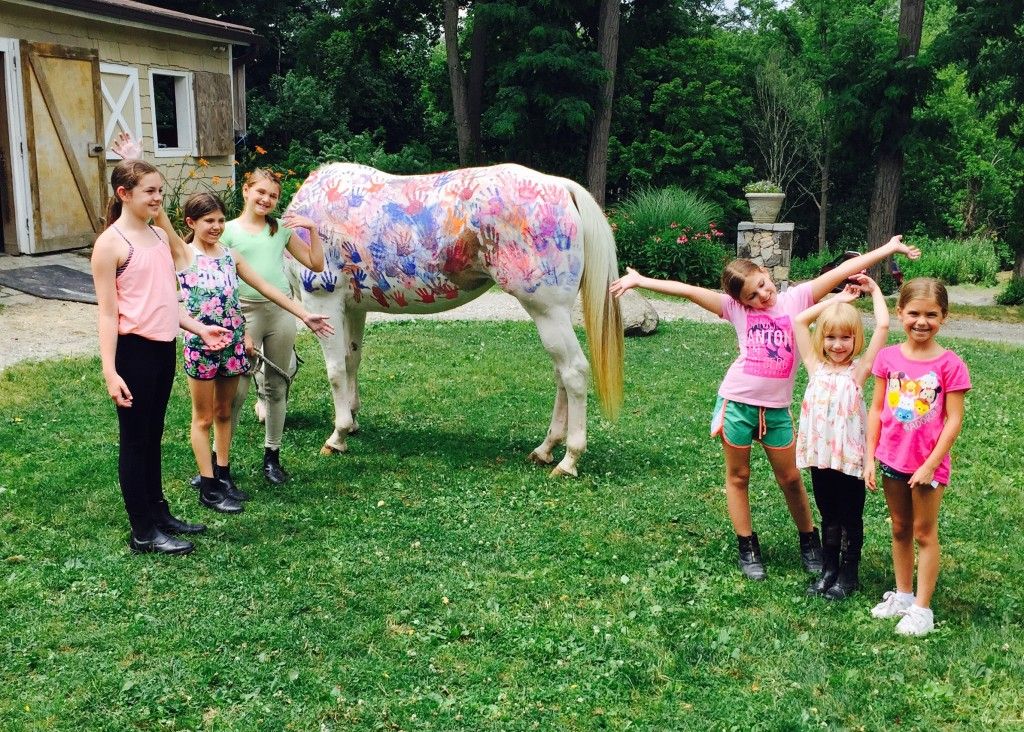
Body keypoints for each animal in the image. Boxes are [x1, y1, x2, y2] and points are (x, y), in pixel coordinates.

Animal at [286, 162, 622, 479]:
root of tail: (561, 187)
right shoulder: (354, 308)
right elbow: (351, 362)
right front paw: (353, 421)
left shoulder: (322, 300)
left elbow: (335, 371)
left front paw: (338, 435)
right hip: (553, 316)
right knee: (561, 375)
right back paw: (546, 449)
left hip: (547, 311)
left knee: (574, 373)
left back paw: (569, 460)